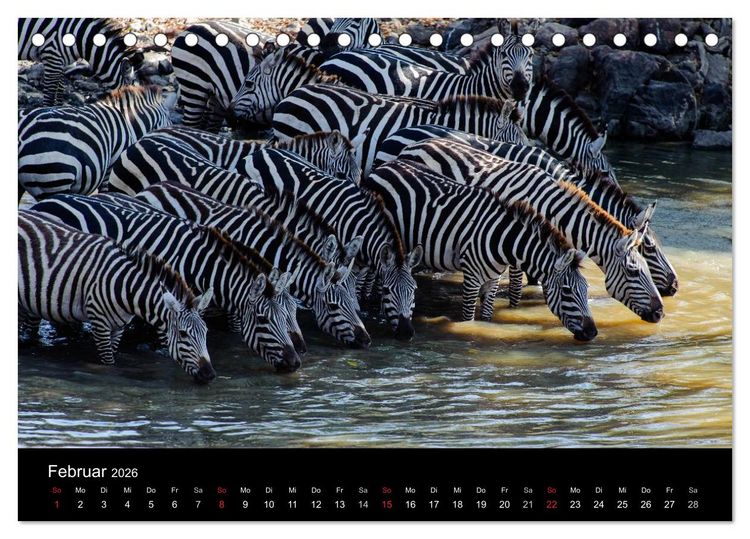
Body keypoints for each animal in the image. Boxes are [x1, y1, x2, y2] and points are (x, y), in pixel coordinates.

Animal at [19, 211, 215, 382]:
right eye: (183, 334)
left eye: (206, 332)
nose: (209, 375)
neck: (127, 288)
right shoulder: (99, 322)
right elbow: (108, 364)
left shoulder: (118, 327)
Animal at [363, 160, 596, 341]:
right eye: (567, 291)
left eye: (586, 289)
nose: (593, 333)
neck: (503, 240)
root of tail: (384, 166)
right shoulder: (471, 278)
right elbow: (468, 319)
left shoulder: (493, 279)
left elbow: (486, 318)